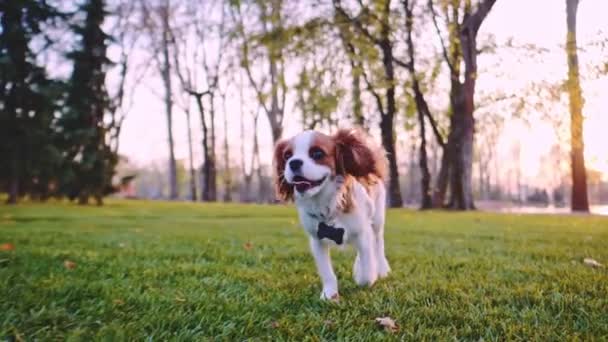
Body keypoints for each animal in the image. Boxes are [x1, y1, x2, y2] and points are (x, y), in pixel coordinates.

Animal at [274, 127, 390, 300]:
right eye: (287, 155)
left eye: (317, 153)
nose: (293, 163)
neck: (326, 205)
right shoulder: (317, 240)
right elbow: (327, 272)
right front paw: (329, 294)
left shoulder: (362, 233)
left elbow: (367, 272)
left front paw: (365, 275)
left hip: (377, 221)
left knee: (377, 243)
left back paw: (380, 268)